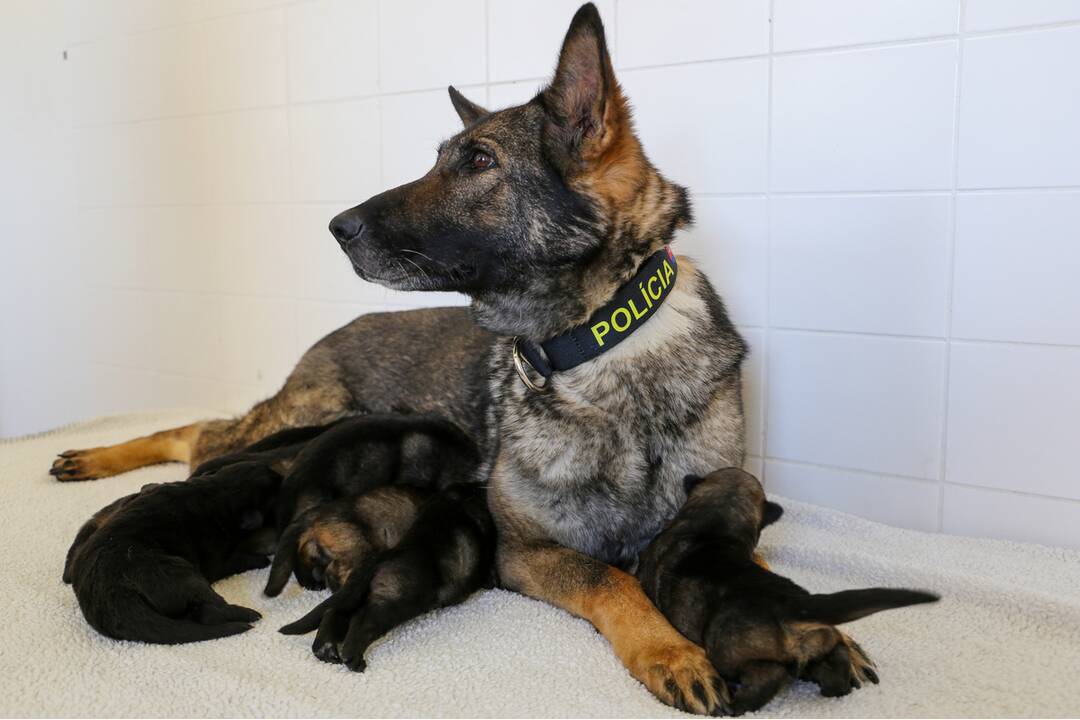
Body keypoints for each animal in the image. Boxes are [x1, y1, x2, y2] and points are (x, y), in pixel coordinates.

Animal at [63, 462, 280, 643]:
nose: (281, 474)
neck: (216, 491)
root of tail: (112, 602)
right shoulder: (217, 558)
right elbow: (234, 560)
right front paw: (261, 560)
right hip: (183, 574)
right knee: (210, 610)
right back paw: (249, 614)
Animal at [280, 483, 494, 669]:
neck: (449, 506)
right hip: (394, 601)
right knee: (361, 620)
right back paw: (353, 659)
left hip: (358, 594)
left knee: (334, 611)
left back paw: (326, 650)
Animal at [635, 468, 941, 716]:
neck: (714, 523)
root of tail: (795, 604)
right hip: (823, 643)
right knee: (837, 661)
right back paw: (835, 690)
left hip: (731, 651)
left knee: (766, 677)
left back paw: (735, 705)